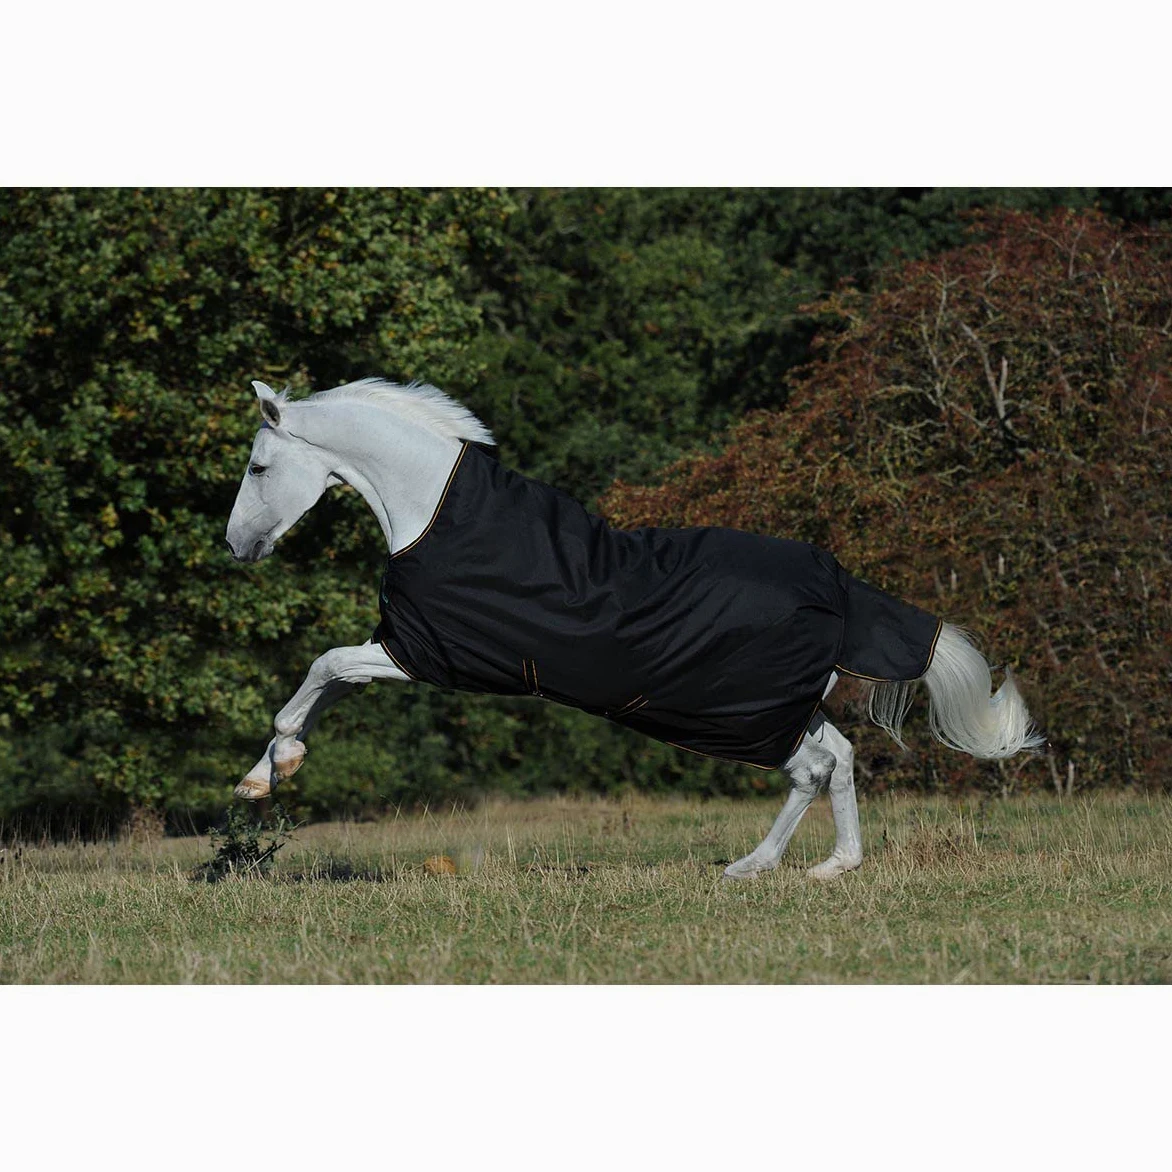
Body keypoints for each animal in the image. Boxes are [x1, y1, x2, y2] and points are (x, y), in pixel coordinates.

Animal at [225, 378, 1044, 879]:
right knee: (837, 759)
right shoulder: (405, 647)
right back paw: (828, 866)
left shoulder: (427, 653)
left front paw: (263, 777)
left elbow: (325, 668)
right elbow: (329, 680)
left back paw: (752, 867)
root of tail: (838, 584)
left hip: (741, 713)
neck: (434, 511)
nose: (236, 547)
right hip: (785, 705)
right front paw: (274, 771)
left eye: (260, 467)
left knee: (809, 769)